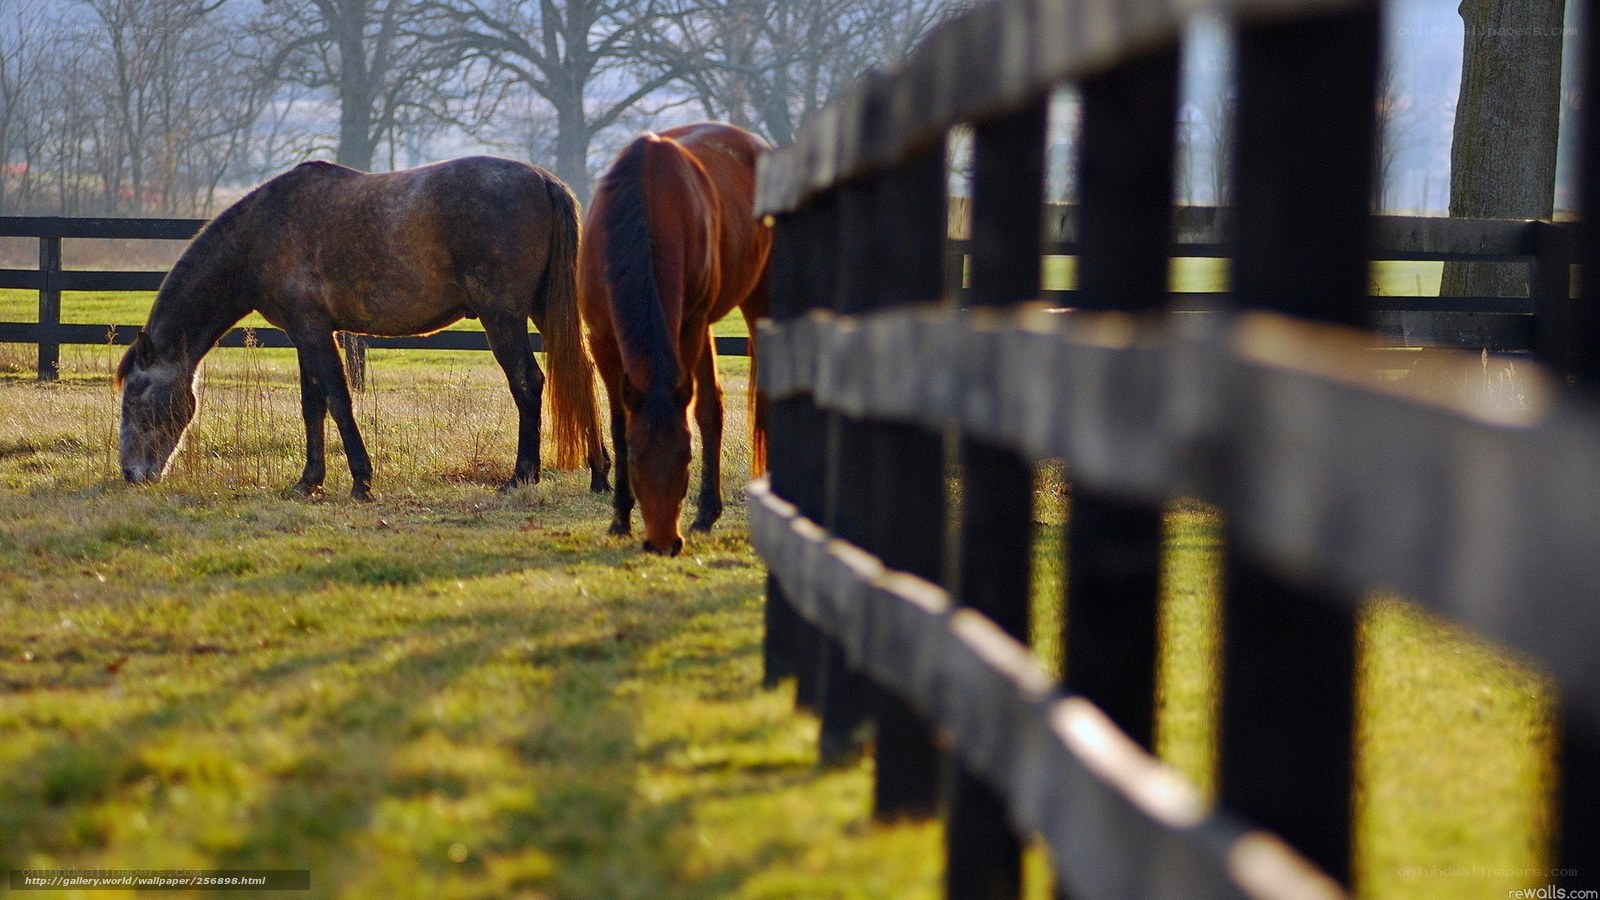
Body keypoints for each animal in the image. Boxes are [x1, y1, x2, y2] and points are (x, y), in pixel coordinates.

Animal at [115, 156, 610, 500]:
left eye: (136, 398)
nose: (131, 475)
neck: (262, 232)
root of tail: (541, 179)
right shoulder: (304, 334)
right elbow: (312, 405)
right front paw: (308, 481)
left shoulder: (313, 332)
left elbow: (337, 399)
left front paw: (361, 481)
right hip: (543, 310)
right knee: (579, 376)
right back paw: (599, 473)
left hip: (502, 317)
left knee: (528, 383)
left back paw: (522, 475)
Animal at [579, 122, 771, 556]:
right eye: (635, 460)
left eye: (685, 458)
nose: (664, 543)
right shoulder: (601, 338)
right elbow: (618, 422)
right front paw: (619, 518)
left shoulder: (688, 326)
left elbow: (697, 414)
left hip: (755, 301)